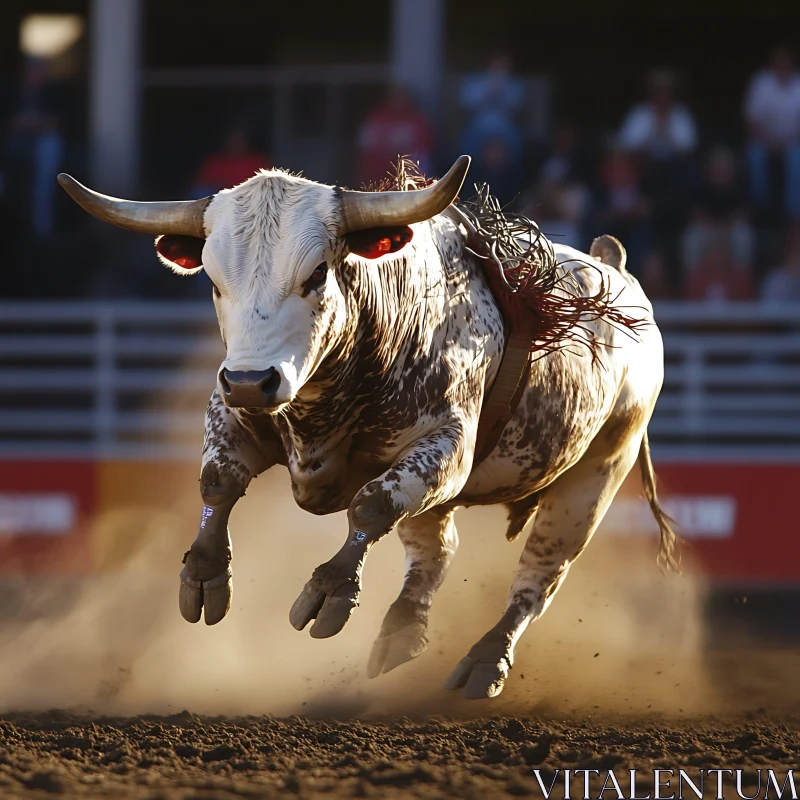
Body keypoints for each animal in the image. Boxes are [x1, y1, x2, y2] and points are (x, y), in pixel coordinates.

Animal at [59, 158, 680, 700]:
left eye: (315, 274)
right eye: (213, 281)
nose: (251, 380)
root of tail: (617, 273)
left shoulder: (446, 448)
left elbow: (373, 504)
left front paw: (331, 588)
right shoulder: (233, 410)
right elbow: (219, 479)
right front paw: (206, 574)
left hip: (597, 473)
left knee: (539, 576)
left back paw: (486, 660)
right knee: (435, 550)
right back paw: (402, 631)